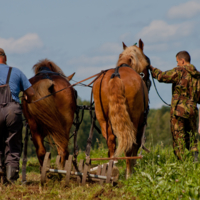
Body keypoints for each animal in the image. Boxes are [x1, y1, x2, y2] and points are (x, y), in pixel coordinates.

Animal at [92, 39, 150, 178]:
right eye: (147, 63)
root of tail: (116, 75)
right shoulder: (141, 121)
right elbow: (136, 144)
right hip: (133, 119)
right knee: (130, 144)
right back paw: (129, 174)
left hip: (102, 118)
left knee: (111, 142)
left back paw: (112, 168)